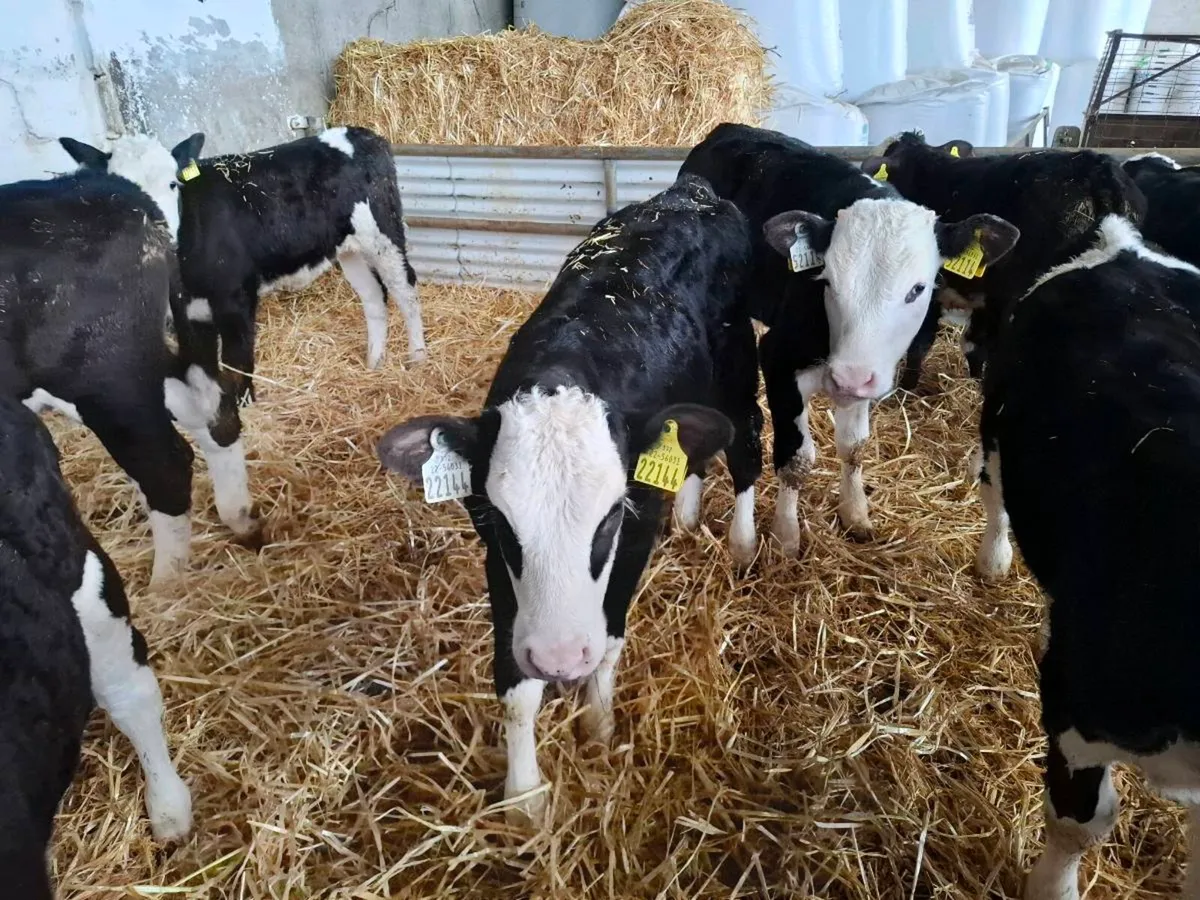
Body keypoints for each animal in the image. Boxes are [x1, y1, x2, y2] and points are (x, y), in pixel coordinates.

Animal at [3, 135, 259, 583]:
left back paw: (166, 584)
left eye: (175, 183)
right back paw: (239, 519)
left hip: (107, 376)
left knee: (166, 466)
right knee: (215, 412)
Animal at [62, 126, 426, 404]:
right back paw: (374, 362)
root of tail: (360, 133)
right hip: (347, 247)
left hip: (382, 231)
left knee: (405, 290)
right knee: (373, 296)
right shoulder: (185, 311)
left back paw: (417, 358)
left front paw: (243, 409)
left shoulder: (235, 297)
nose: (159, 230)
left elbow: (237, 362)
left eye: (172, 184)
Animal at [376, 174, 760, 824]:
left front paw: (598, 728)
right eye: (500, 523)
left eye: (607, 521)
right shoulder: (497, 567)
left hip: (738, 371)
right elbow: (514, 684)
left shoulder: (636, 532)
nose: (559, 660)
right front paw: (524, 795)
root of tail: (690, 190)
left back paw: (747, 539)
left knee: (746, 446)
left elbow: (608, 639)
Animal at [679, 123, 1019, 553]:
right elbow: (796, 457)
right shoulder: (778, 359)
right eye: (828, 281)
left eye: (917, 289)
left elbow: (854, 446)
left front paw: (855, 512)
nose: (849, 378)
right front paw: (786, 536)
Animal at [971, 214, 1200, 899]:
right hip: (997, 425)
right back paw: (993, 560)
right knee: (994, 495)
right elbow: (1078, 822)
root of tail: (1123, 245)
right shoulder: (1077, 700)